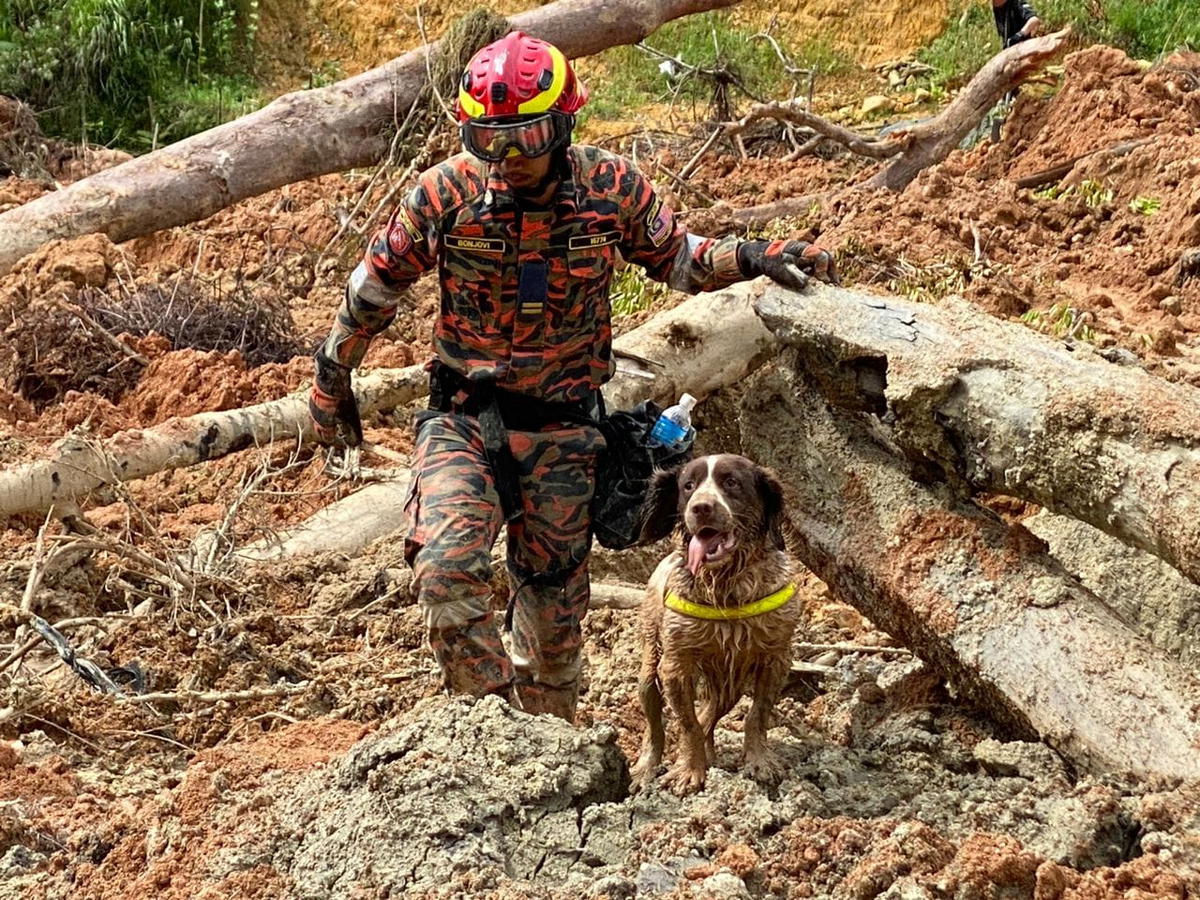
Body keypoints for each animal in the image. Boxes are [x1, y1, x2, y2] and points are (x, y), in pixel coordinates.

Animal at [633, 453, 801, 792]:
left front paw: (759, 762)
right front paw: (689, 771)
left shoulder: (775, 658)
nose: (701, 507)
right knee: (656, 724)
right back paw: (647, 768)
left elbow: (757, 714)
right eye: (688, 485)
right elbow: (687, 724)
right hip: (650, 669)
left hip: (729, 685)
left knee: (709, 711)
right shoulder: (675, 666)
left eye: (732, 482)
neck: (727, 587)